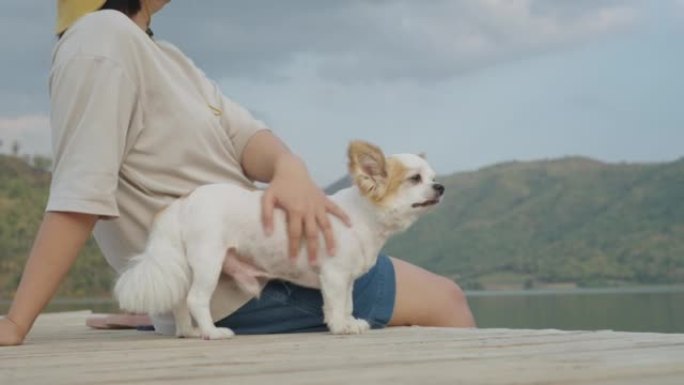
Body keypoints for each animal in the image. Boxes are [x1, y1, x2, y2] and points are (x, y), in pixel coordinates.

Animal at [113, 140, 444, 338]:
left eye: (433, 177)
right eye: (415, 179)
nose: (440, 187)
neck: (362, 216)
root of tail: (182, 202)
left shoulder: (347, 279)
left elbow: (348, 304)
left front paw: (350, 323)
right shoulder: (334, 276)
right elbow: (335, 305)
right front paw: (339, 327)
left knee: (181, 302)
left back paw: (189, 332)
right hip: (209, 261)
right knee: (196, 299)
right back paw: (213, 332)